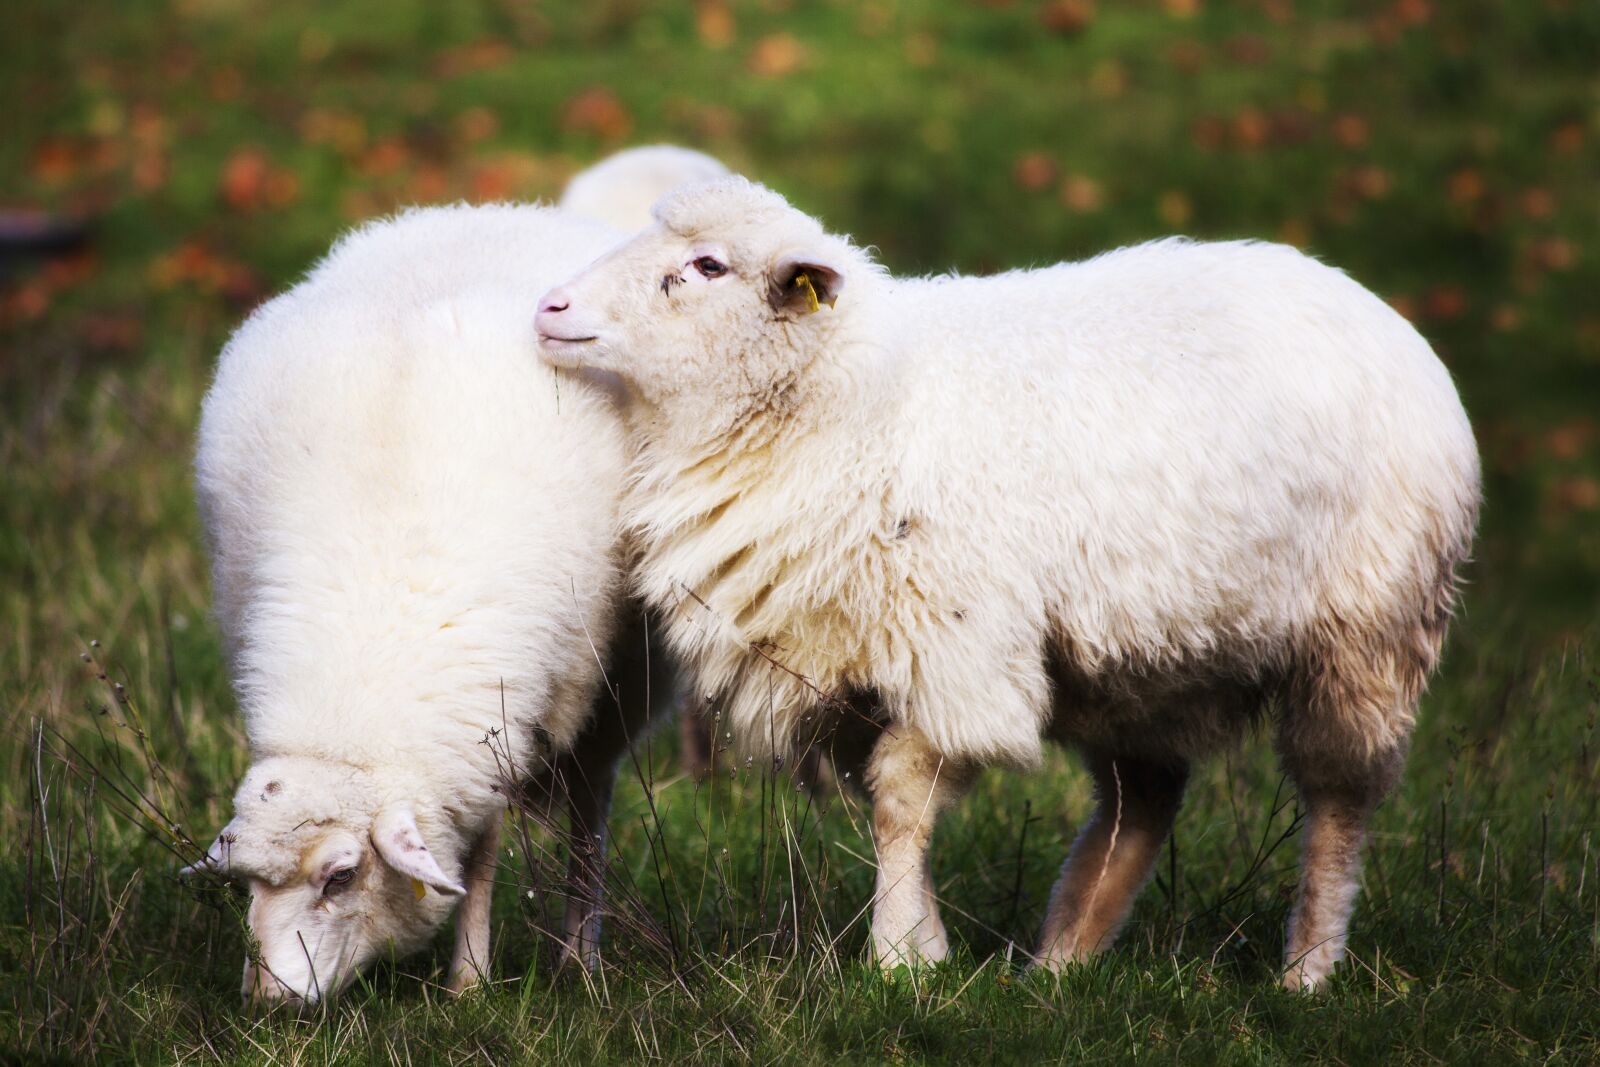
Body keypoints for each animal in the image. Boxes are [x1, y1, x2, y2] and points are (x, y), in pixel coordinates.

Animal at [187, 202, 665, 1005]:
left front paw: (468, 982)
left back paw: (579, 956)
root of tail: (488, 213)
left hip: (619, 681)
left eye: (341, 876)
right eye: (248, 885)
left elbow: (482, 854)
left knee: (590, 803)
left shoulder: (503, 719)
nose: (269, 1000)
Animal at [534, 177, 1481, 990]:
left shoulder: (954, 647)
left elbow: (899, 805)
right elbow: (886, 799)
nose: (550, 308)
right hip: (1147, 656)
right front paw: (924, 947)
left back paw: (1306, 970)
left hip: (1365, 632)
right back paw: (1062, 962)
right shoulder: (853, 654)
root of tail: (1367, 302)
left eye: (707, 266)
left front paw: (899, 958)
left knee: (1337, 802)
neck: (852, 403)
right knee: (1142, 803)